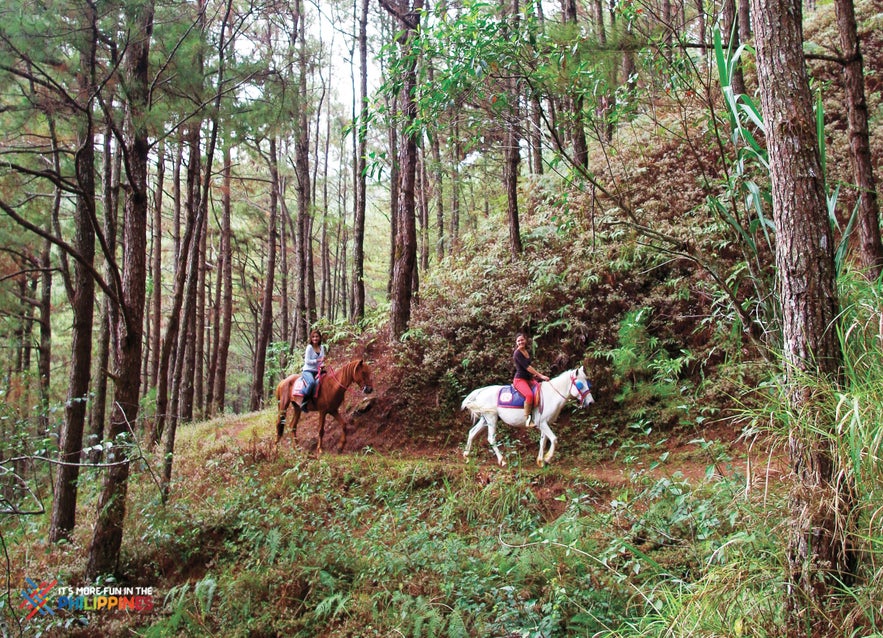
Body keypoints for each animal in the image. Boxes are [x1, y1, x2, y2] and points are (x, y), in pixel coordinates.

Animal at [461, 366, 594, 467]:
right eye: (581, 385)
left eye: (588, 383)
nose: (591, 402)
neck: (552, 395)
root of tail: (482, 391)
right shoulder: (542, 423)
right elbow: (554, 439)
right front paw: (547, 458)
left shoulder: (544, 424)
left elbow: (543, 442)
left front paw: (541, 461)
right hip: (491, 418)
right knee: (491, 439)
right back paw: (502, 460)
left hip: (485, 419)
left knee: (472, 432)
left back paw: (466, 456)